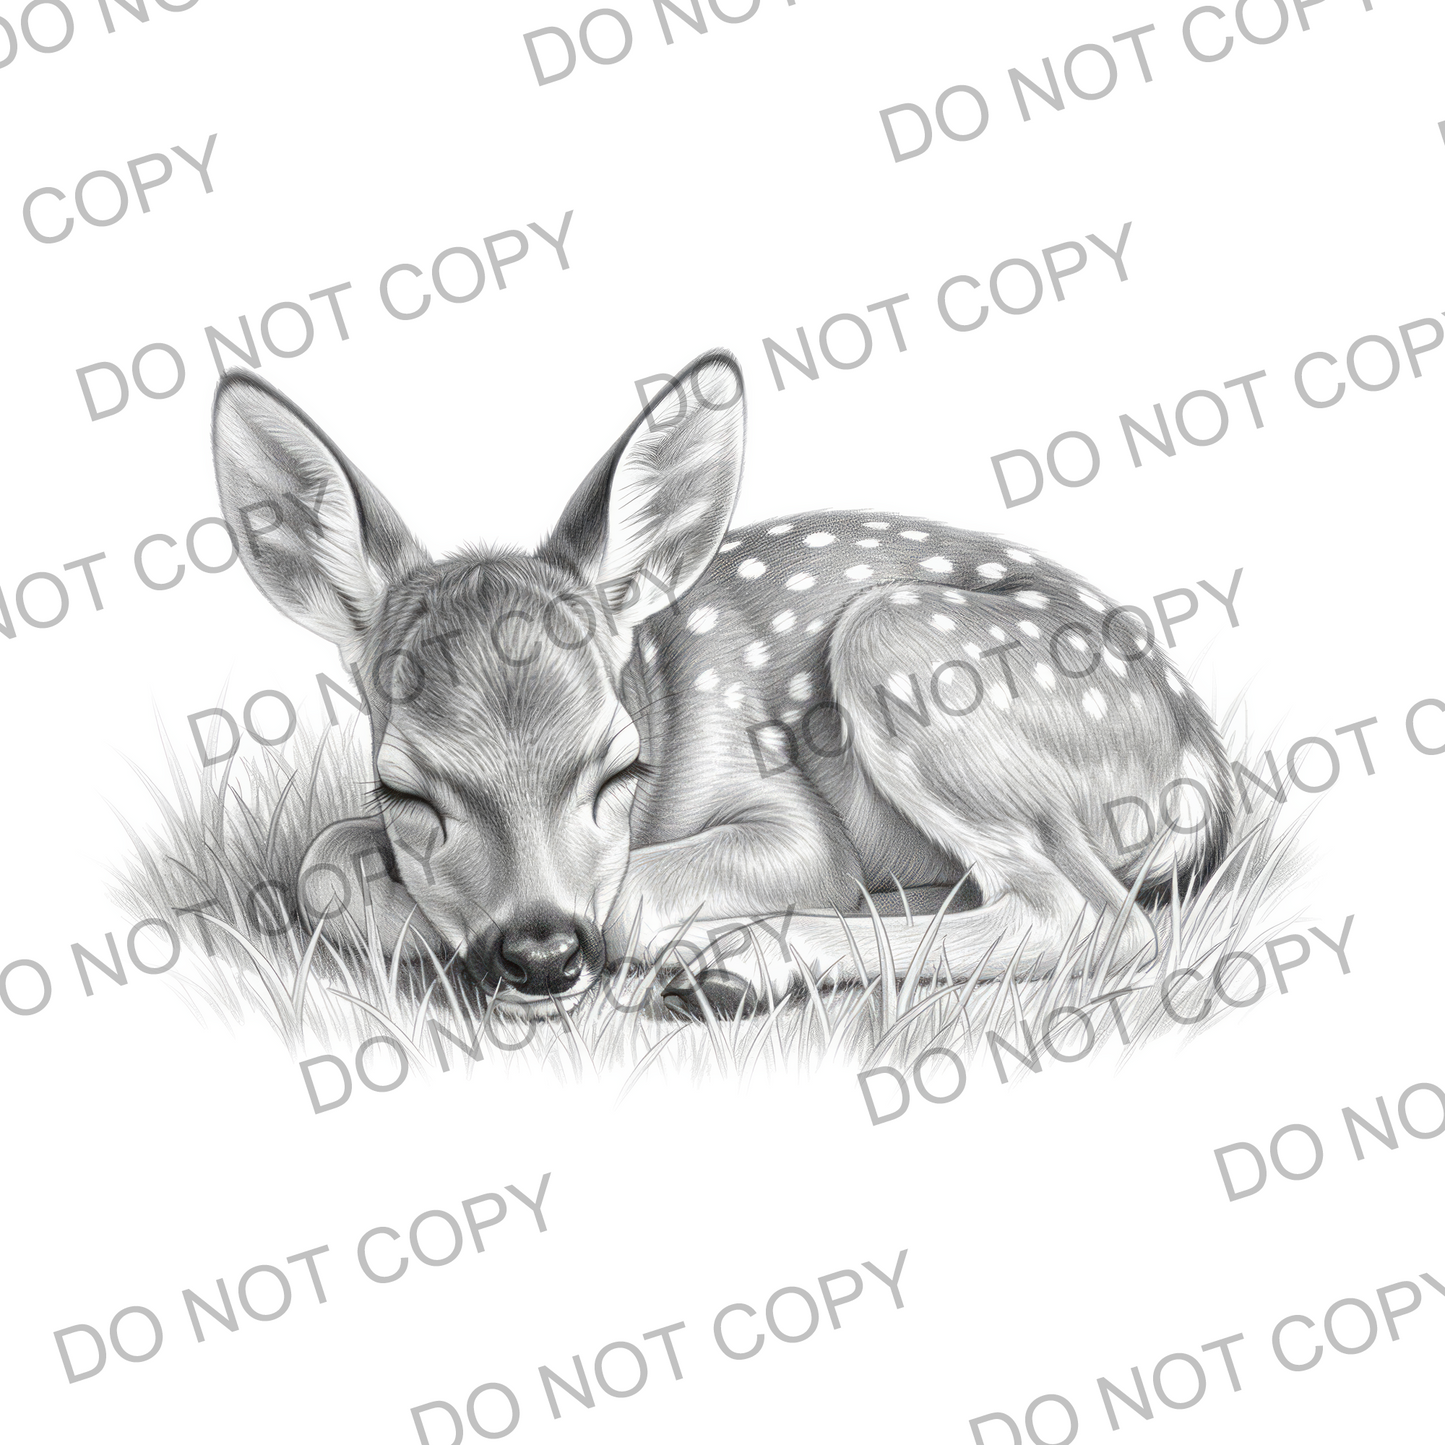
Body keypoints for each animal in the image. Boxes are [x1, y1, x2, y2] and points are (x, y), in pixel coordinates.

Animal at [210, 351, 1233, 1019]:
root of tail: (1198, 757)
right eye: (402, 789)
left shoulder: (782, 805)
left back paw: (740, 961)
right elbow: (322, 864)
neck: (656, 699)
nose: (541, 955)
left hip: (897, 645)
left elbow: (648, 885)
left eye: (619, 767)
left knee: (1089, 914)